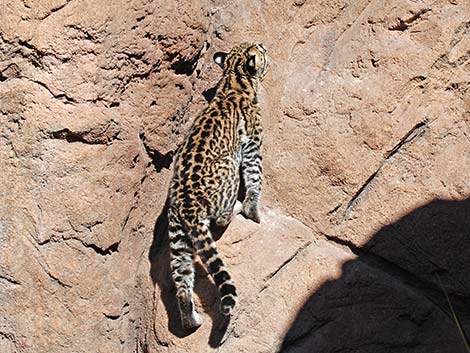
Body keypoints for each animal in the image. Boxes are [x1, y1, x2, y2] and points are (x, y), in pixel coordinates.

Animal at [168, 42, 268, 328]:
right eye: (260, 50)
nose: (264, 44)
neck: (234, 78)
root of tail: (186, 202)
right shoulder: (252, 146)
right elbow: (256, 176)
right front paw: (253, 210)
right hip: (230, 166)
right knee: (222, 218)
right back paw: (235, 208)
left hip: (178, 235)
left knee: (181, 280)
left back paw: (191, 320)